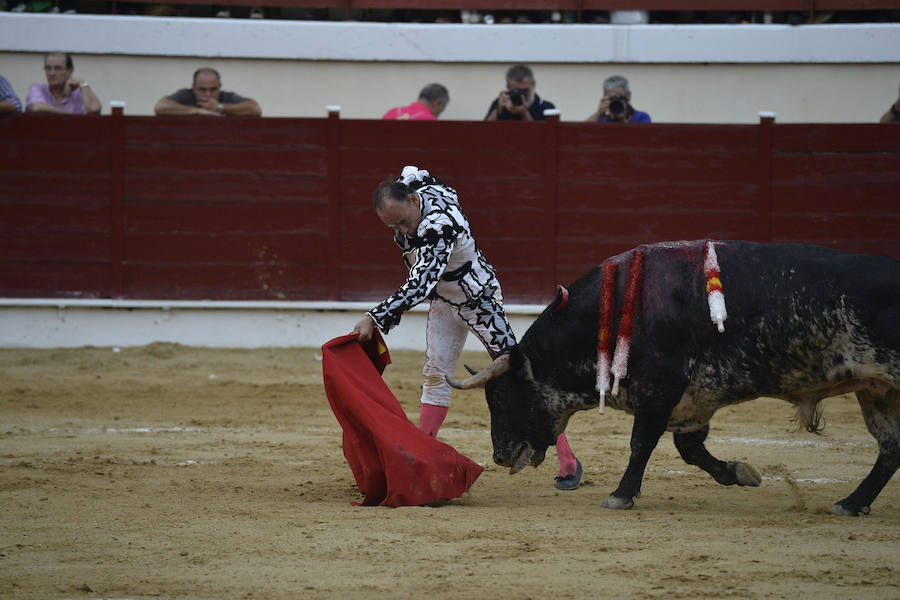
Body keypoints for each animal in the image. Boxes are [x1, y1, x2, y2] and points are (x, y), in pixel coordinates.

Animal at [450, 239, 900, 516]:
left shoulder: (660, 388)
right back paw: (851, 503)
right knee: (890, 449)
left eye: (502, 399)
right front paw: (739, 473)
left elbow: (641, 442)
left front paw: (621, 494)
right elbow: (689, 449)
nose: (499, 455)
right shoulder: (694, 398)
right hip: (877, 391)